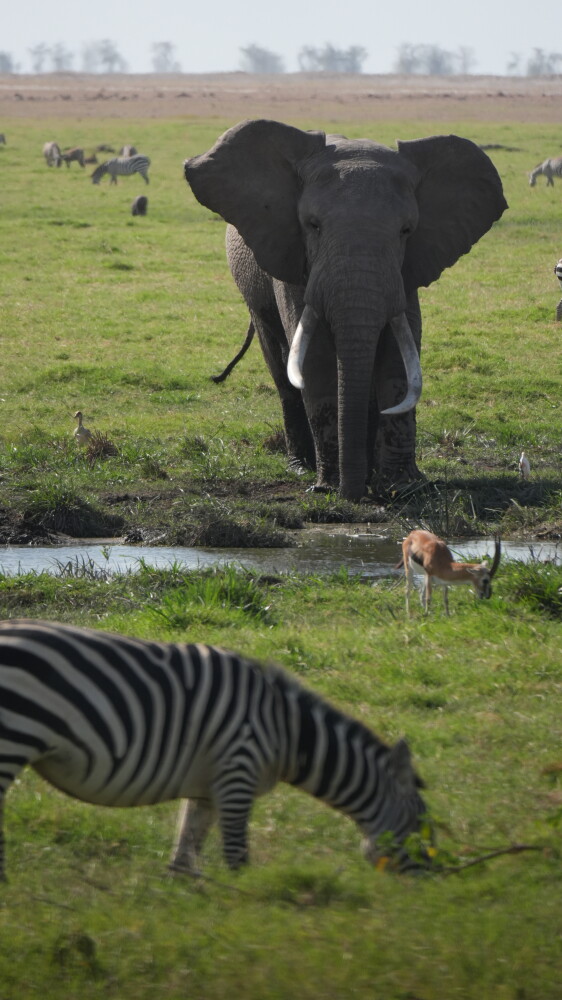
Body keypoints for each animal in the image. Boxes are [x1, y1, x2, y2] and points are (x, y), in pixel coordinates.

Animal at [0, 620, 430, 881]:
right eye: (422, 827)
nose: (433, 886)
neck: (286, 732)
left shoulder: (207, 787)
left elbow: (185, 851)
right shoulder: (238, 771)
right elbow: (236, 855)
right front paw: (248, 916)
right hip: (12, 738)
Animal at [184, 119, 507, 501]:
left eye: (406, 230)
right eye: (313, 225)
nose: (353, 494)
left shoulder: (408, 268)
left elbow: (398, 356)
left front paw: (403, 487)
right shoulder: (294, 256)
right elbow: (316, 359)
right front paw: (329, 487)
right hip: (254, 294)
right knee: (279, 362)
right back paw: (301, 467)